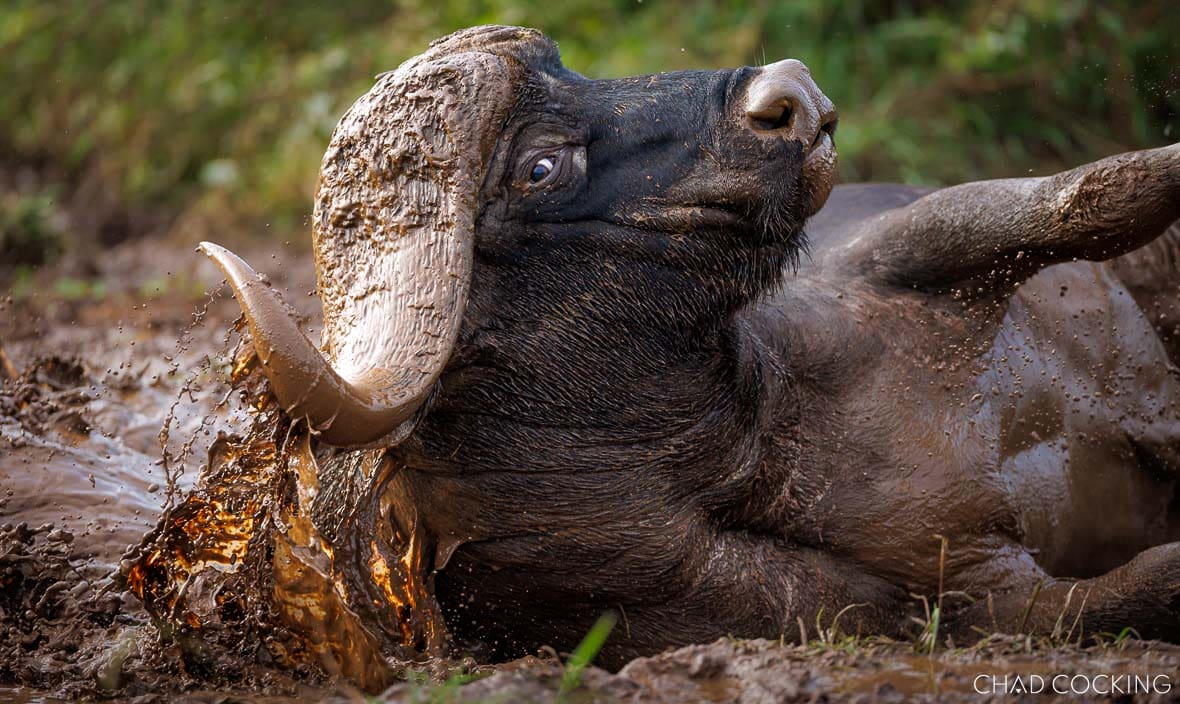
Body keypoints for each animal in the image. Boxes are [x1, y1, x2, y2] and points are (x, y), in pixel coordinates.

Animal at [192, 25, 1179, 666]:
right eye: (541, 165)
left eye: (581, 73)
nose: (792, 91)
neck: (755, 437)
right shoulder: (976, 604)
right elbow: (1145, 587)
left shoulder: (905, 247)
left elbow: (1088, 194)